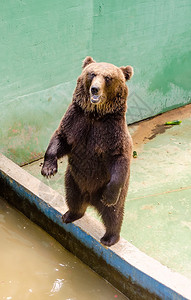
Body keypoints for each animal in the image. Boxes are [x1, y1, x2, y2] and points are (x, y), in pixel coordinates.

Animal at [41, 56, 134, 246]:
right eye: (92, 74)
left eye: (108, 77)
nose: (95, 89)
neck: (95, 116)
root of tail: (90, 199)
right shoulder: (76, 121)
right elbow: (60, 139)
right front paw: (49, 169)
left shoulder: (111, 133)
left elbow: (119, 159)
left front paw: (109, 197)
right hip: (73, 180)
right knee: (73, 198)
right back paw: (70, 215)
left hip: (107, 189)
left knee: (113, 214)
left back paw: (109, 237)